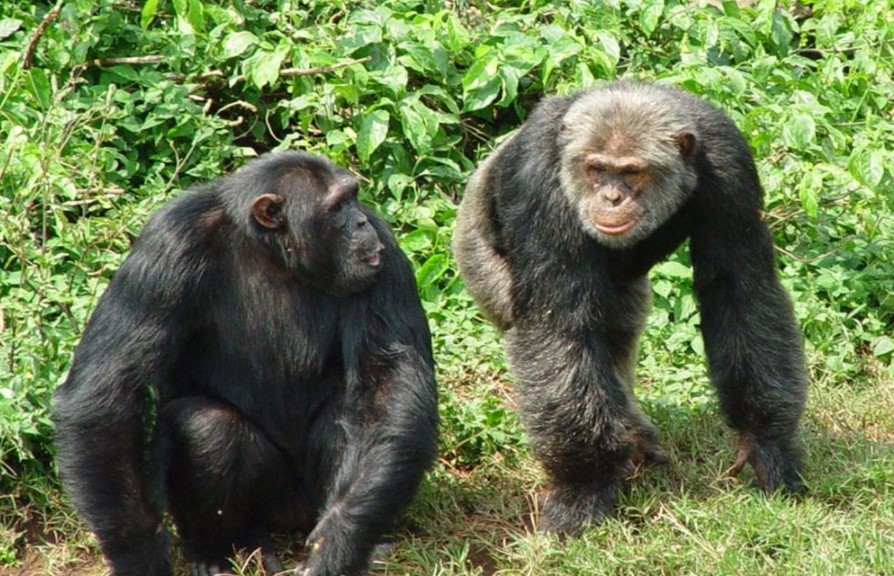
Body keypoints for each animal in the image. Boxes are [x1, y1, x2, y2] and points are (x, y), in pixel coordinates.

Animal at [52, 152, 438, 576]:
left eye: (354, 199)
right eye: (337, 207)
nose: (360, 221)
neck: (274, 253)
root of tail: (290, 518)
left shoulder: (383, 254)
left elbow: (387, 384)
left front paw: (340, 542)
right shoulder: (167, 246)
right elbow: (106, 390)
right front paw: (139, 556)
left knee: (351, 417)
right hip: (268, 503)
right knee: (209, 429)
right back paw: (216, 550)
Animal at [456, 80, 812, 536]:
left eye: (631, 172)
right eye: (596, 168)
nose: (611, 196)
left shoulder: (731, 166)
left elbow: (740, 291)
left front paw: (765, 443)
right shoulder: (536, 184)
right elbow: (558, 325)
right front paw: (585, 485)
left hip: (627, 294)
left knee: (617, 338)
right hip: (477, 261)